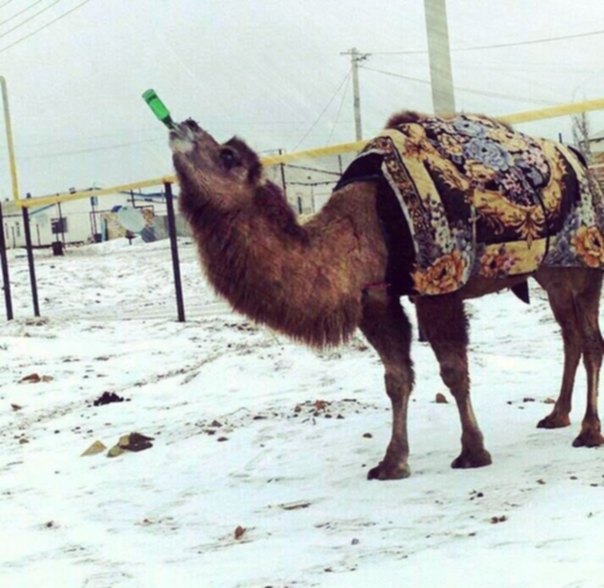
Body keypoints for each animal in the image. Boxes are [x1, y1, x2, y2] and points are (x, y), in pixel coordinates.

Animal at [170, 112, 604, 480]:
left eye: (227, 155)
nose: (183, 124)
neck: (362, 228)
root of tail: (584, 164)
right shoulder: (375, 300)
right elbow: (396, 378)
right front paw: (392, 463)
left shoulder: (437, 283)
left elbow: (453, 371)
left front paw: (472, 452)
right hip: (551, 272)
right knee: (570, 336)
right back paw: (557, 415)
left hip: (583, 258)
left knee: (590, 339)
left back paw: (588, 431)